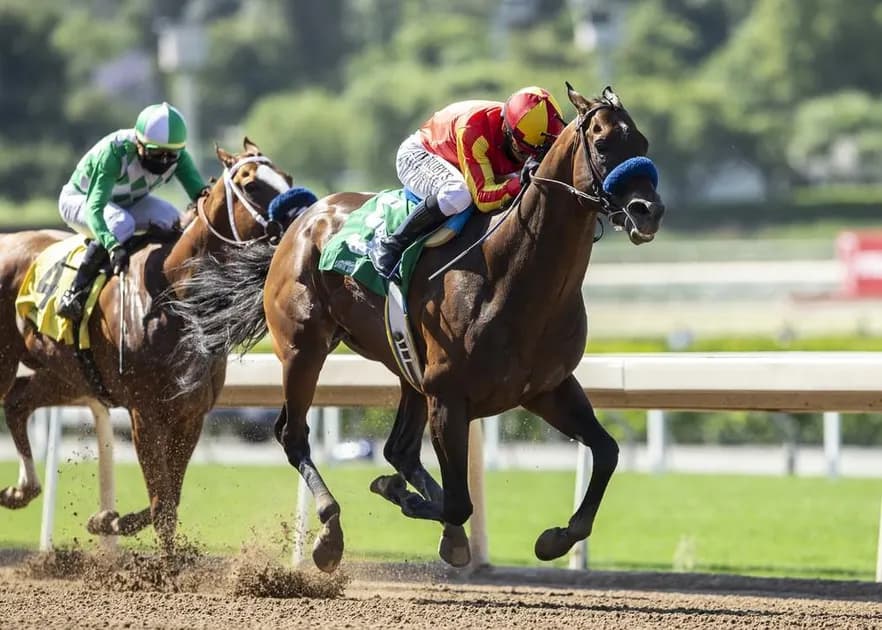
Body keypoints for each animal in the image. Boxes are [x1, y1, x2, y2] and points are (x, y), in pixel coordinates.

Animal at [0, 138, 292, 552]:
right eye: (251, 185)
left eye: (288, 179)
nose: (299, 218)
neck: (173, 294)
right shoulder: (144, 412)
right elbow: (162, 504)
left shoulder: (190, 413)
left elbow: (170, 498)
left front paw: (107, 519)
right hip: (8, 360)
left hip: (68, 374)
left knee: (17, 402)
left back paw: (21, 490)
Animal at [172, 85, 665, 572]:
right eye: (602, 144)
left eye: (642, 143)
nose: (649, 211)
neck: (513, 274)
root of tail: (302, 221)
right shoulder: (448, 396)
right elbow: (460, 502)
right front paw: (402, 497)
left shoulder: (547, 387)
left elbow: (607, 452)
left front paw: (556, 538)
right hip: (303, 349)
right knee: (294, 436)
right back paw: (330, 533)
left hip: (406, 367)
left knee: (399, 449)